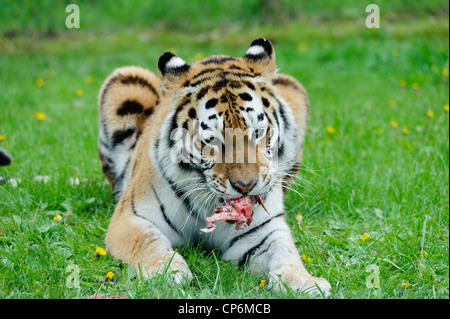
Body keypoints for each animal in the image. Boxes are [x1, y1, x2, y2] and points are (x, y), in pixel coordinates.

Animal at [97, 38, 330, 298]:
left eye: (258, 132)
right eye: (213, 141)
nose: (246, 186)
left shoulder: (261, 230)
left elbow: (284, 251)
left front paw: (305, 282)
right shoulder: (130, 218)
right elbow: (148, 243)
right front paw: (166, 273)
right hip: (126, 80)